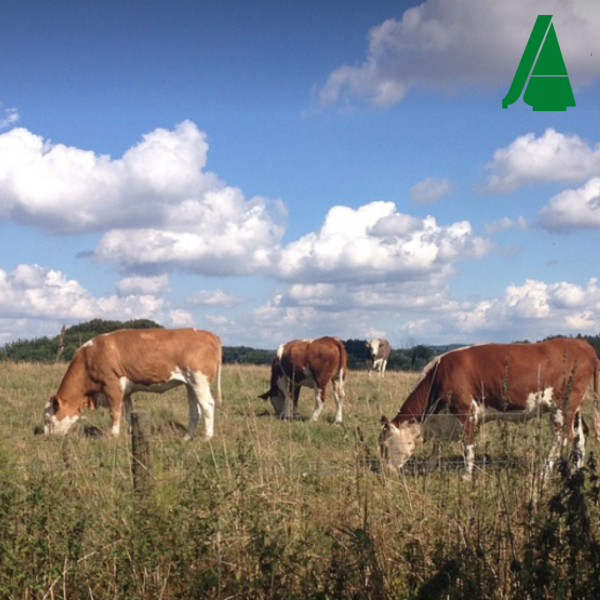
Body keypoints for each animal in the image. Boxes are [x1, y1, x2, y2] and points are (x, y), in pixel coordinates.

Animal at [44, 328, 223, 440]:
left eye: (47, 418)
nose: (47, 438)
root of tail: (208, 334)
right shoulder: (126, 393)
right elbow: (128, 414)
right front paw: (133, 433)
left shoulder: (111, 385)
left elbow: (115, 413)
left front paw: (113, 436)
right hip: (190, 383)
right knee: (195, 410)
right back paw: (186, 437)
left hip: (199, 380)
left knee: (207, 405)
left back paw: (206, 437)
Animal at [380, 338, 600, 478]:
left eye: (385, 446)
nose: (386, 472)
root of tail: (583, 345)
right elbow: (438, 446)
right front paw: (428, 468)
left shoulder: (466, 411)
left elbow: (468, 447)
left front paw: (466, 477)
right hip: (576, 407)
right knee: (580, 435)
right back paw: (575, 473)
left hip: (563, 406)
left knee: (562, 437)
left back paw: (544, 473)